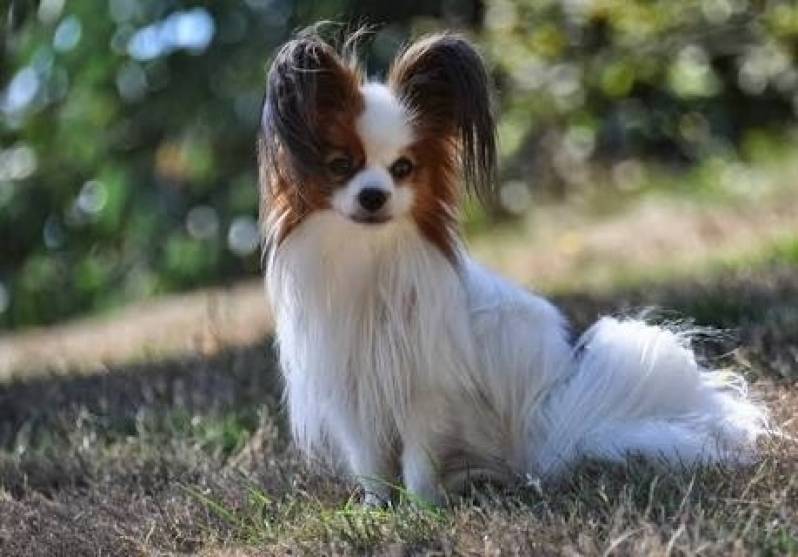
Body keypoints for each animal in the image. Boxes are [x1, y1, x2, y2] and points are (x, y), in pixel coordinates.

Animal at [260, 27, 772, 504]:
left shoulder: (427, 394)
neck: (367, 256)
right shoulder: (352, 393)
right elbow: (371, 464)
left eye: (403, 168)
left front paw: (423, 508)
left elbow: (419, 460)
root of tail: (552, 432)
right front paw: (377, 509)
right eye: (340, 165)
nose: (373, 196)